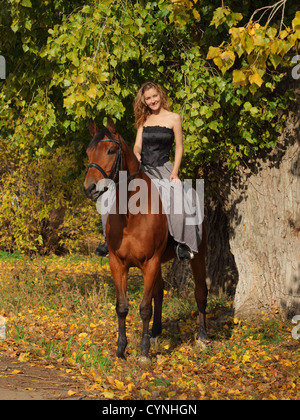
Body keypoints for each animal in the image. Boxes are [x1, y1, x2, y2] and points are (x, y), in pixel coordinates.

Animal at [83, 119, 207, 360]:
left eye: (110, 150)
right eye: (88, 152)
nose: (90, 188)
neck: (131, 213)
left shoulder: (150, 262)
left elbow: (144, 308)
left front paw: (143, 352)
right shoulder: (117, 263)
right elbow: (122, 306)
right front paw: (121, 349)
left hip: (198, 255)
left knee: (200, 292)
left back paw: (203, 337)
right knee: (159, 292)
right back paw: (156, 333)